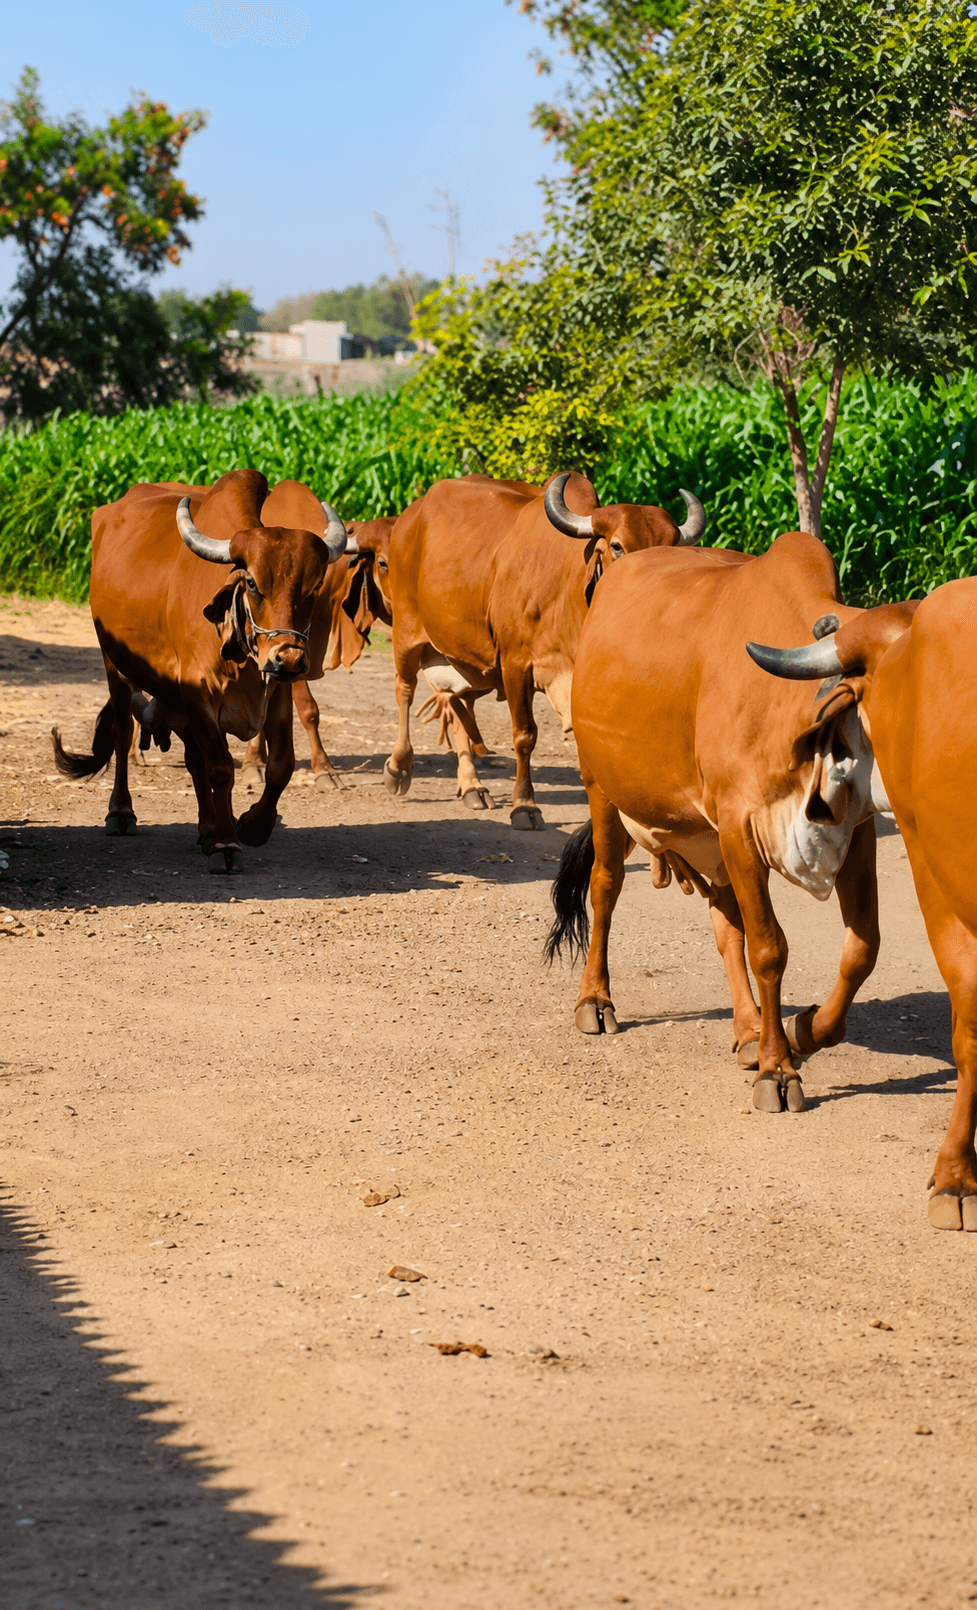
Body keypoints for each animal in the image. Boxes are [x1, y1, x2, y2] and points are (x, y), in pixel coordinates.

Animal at [52, 469, 349, 873]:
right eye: (252, 583)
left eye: (315, 585)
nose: (288, 659)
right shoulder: (199, 694)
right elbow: (220, 769)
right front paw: (226, 844)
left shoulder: (275, 695)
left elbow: (280, 766)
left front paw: (251, 826)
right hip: (115, 665)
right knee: (122, 731)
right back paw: (122, 812)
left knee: (194, 760)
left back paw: (206, 828)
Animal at [380, 471, 707, 828]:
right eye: (617, 546)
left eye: (671, 549)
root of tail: (410, 516)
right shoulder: (515, 665)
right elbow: (525, 736)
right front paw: (524, 804)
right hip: (407, 631)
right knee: (404, 690)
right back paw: (398, 767)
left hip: (462, 655)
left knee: (455, 703)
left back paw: (472, 786)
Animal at [545, 531, 912, 1118]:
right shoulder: (741, 828)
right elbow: (769, 948)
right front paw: (778, 1070)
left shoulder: (854, 834)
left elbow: (862, 950)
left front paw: (802, 1031)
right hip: (601, 787)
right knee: (605, 886)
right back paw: (595, 1000)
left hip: (708, 840)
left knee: (724, 922)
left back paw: (748, 1031)